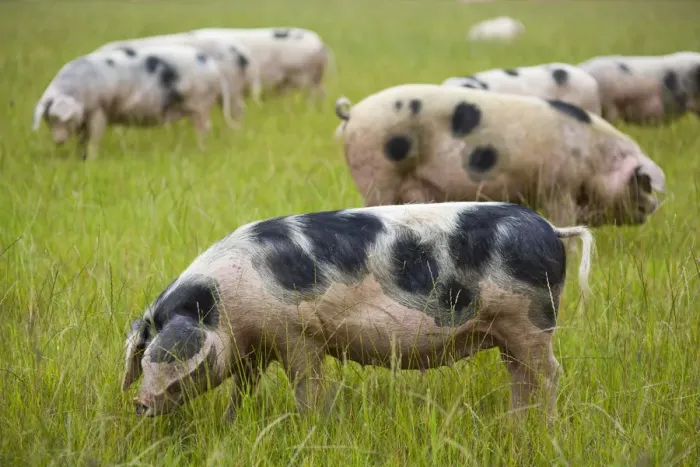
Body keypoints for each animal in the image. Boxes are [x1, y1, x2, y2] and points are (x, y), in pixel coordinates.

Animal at [32, 44, 233, 159]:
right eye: (48, 119)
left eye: (61, 118)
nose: (58, 141)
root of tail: (212, 65)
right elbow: (83, 138)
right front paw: (80, 157)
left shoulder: (99, 109)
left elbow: (94, 136)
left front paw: (91, 159)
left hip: (201, 103)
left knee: (204, 128)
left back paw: (201, 150)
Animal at [121, 201, 594, 421]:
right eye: (142, 360)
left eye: (170, 365)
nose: (139, 404)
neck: (223, 305)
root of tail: (552, 229)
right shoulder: (254, 347)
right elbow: (243, 388)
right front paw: (233, 420)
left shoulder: (297, 334)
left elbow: (307, 384)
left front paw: (311, 422)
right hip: (512, 331)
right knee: (520, 375)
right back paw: (517, 423)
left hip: (530, 320)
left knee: (548, 373)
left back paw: (544, 427)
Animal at [333, 84, 666, 228]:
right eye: (643, 182)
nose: (653, 207)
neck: (594, 157)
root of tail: (353, 114)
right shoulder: (557, 187)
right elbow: (562, 220)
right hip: (378, 172)